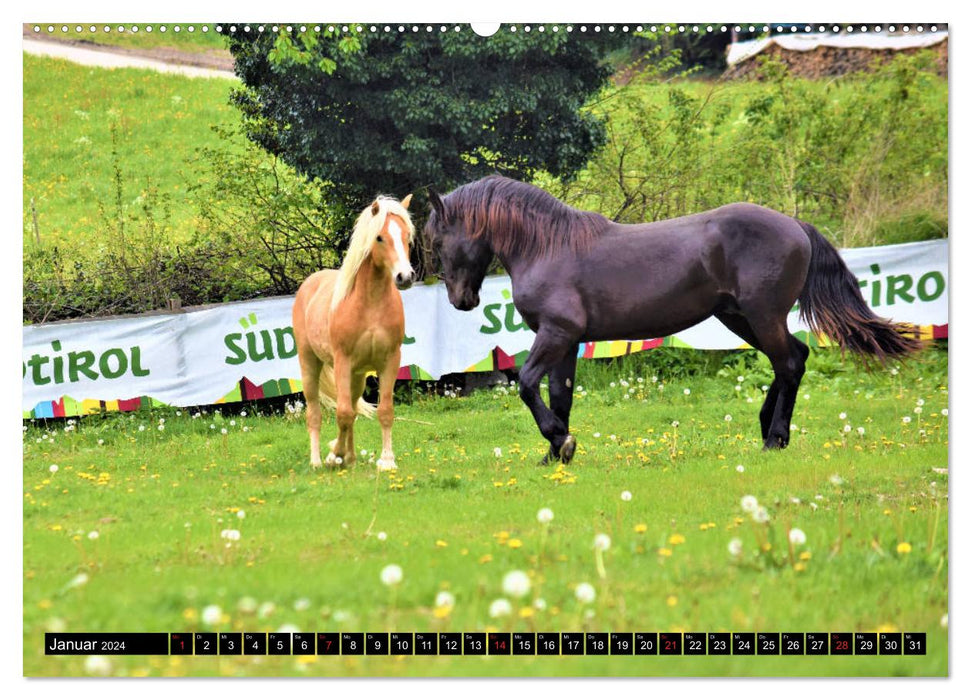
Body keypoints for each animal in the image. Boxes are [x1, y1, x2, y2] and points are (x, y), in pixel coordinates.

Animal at [290, 197, 416, 470]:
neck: (370, 305)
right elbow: (343, 414)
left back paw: (350, 457)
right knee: (315, 413)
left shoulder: (389, 361)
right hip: (310, 364)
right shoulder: (343, 362)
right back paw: (318, 460)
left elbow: (384, 411)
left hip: (357, 376)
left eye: (407, 236)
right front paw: (333, 454)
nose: (405, 276)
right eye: (379, 237)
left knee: (353, 409)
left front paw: (386, 460)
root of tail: (310, 283)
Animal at [430, 175, 924, 462]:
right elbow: (559, 395)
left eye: (437, 240)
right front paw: (557, 454)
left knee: (788, 363)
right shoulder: (566, 341)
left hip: (761, 316)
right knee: (794, 358)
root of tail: (795, 226)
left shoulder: (555, 333)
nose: (459, 300)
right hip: (739, 319)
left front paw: (560, 442)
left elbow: (529, 386)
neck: (548, 246)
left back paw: (774, 437)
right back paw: (767, 427)